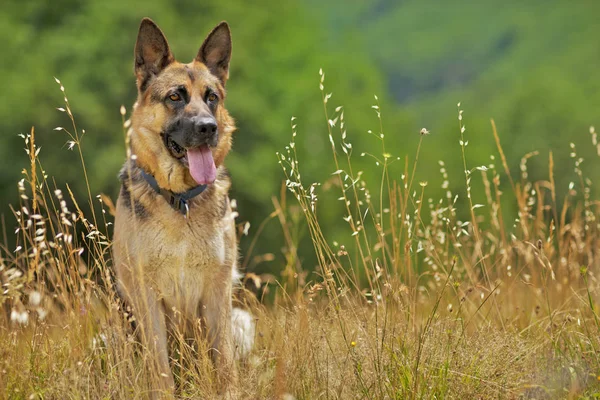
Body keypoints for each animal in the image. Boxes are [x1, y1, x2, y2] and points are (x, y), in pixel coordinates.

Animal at [112, 18, 251, 396]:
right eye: (175, 96)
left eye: (212, 97)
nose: (208, 128)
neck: (180, 203)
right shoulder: (147, 298)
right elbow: (160, 366)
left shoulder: (218, 293)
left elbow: (224, 361)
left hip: (240, 321)